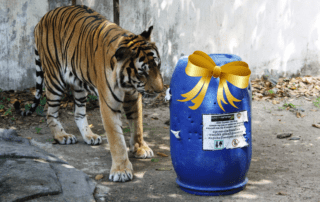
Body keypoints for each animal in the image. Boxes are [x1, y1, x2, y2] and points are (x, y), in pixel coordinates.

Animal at [13, 4, 164, 182]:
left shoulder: (133, 97)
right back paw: (62, 136)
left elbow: (138, 125)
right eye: (142, 72)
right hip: (55, 78)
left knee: (78, 113)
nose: (160, 90)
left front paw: (140, 148)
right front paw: (121, 170)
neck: (127, 83)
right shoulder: (109, 105)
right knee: (49, 111)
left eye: (158, 66)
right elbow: (116, 139)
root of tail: (42, 18)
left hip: (79, 83)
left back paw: (89, 136)